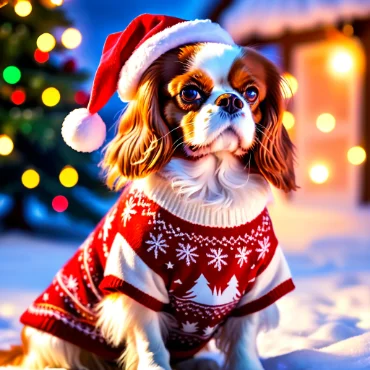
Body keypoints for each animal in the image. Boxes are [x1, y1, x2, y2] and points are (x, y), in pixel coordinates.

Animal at [0, 14, 296, 370]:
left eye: (251, 93)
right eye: (190, 92)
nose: (230, 100)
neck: (211, 193)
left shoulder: (258, 283)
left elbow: (243, 340)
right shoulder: (134, 277)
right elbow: (149, 341)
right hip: (55, 337)